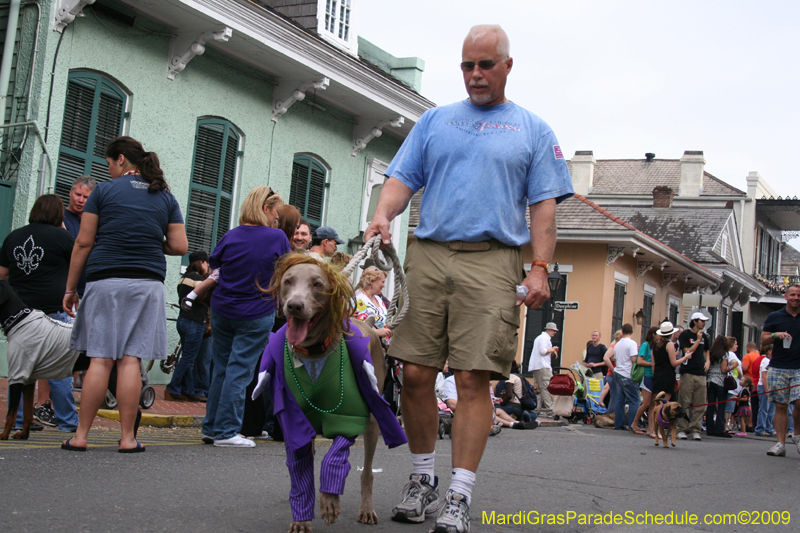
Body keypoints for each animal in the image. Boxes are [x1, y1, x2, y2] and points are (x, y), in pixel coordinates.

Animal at [252, 255, 406, 532]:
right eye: (288, 281)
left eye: (317, 283)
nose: (294, 306)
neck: (314, 353)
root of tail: (366, 322)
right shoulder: (294, 423)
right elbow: (301, 472)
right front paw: (301, 518)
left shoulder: (348, 416)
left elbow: (334, 458)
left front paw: (330, 503)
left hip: (374, 418)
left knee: (367, 470)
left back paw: (366, 510)